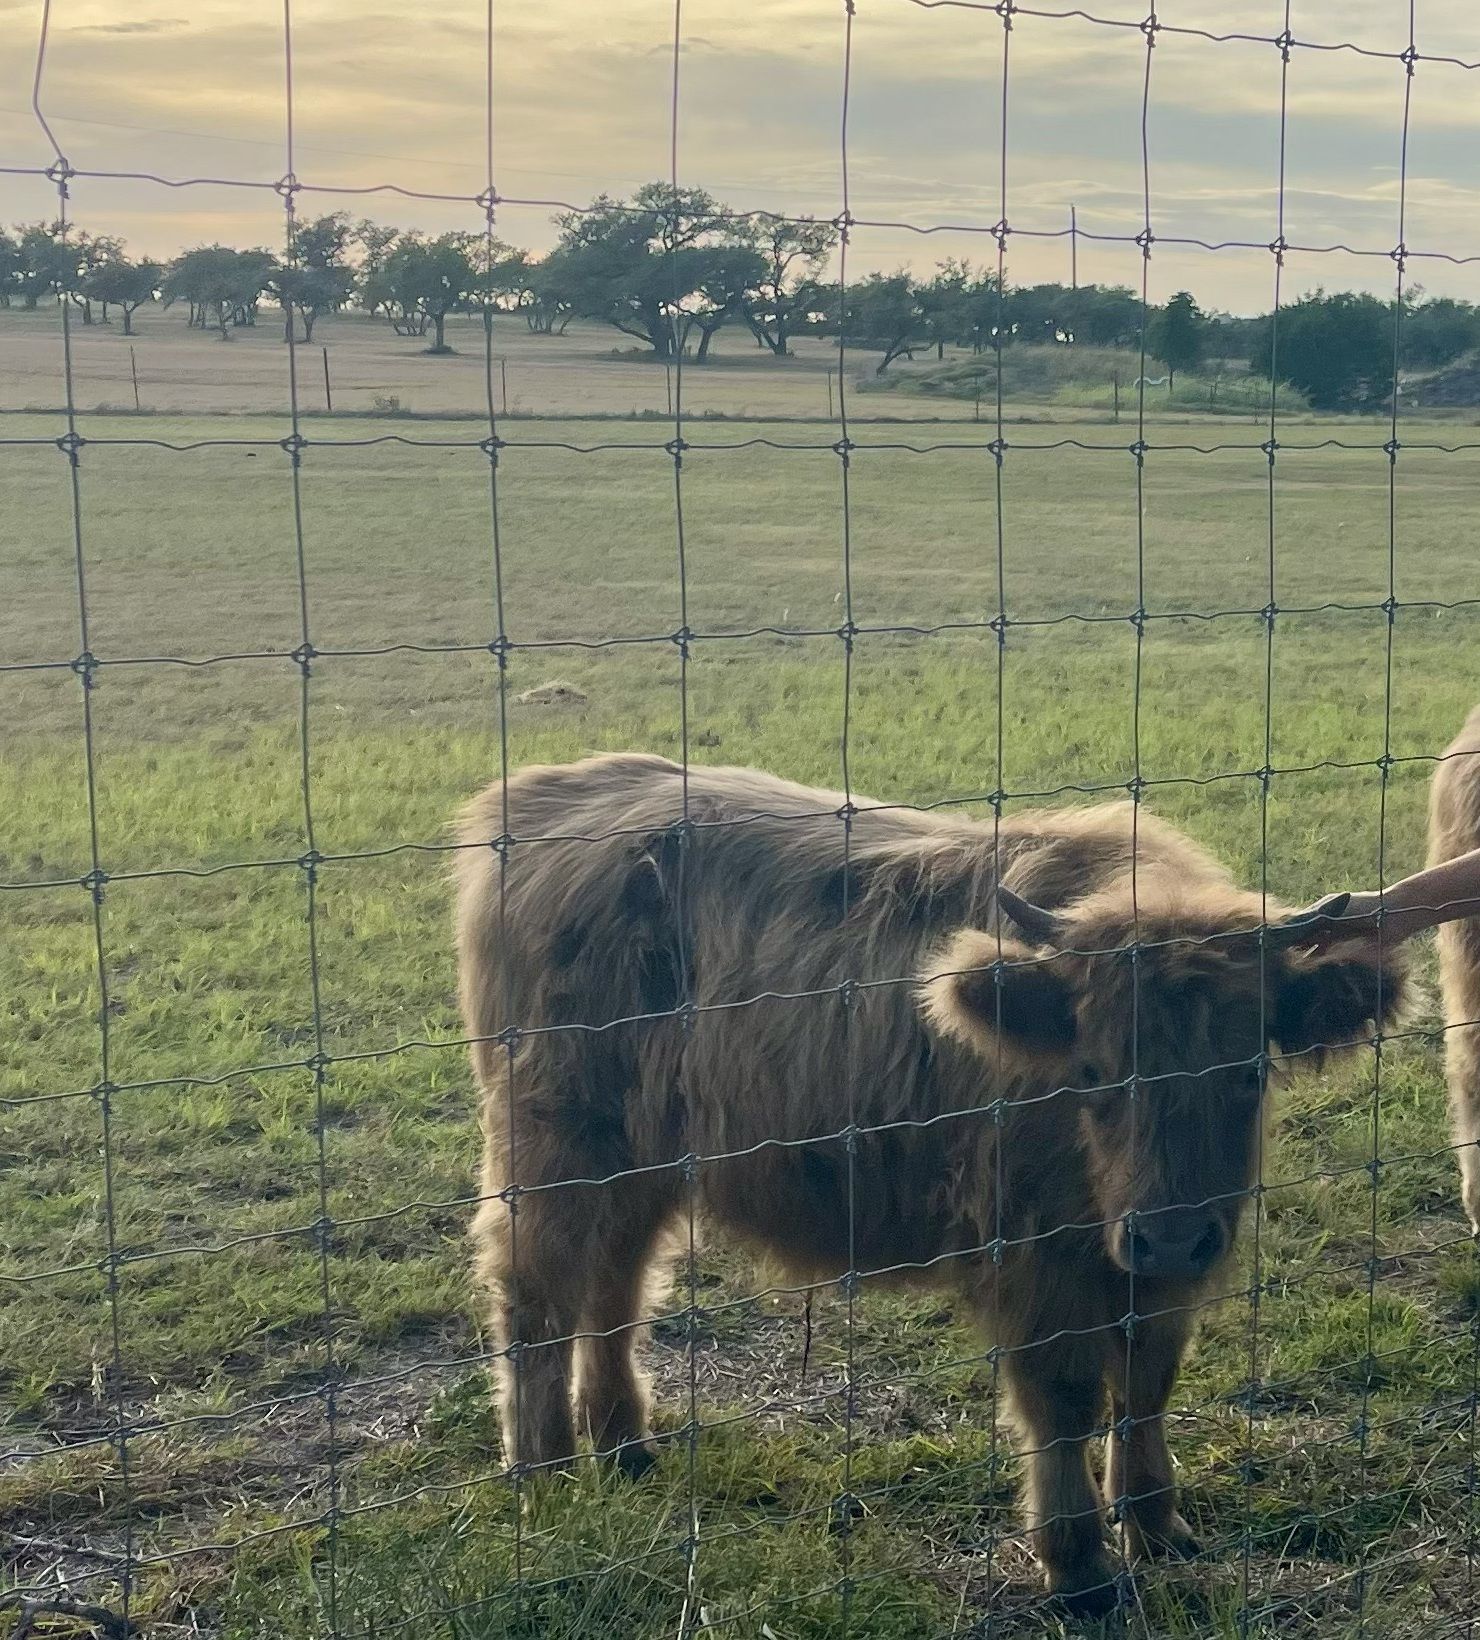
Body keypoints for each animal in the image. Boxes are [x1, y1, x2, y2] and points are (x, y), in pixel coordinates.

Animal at [455, 752, 1478, 1613]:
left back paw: (625, 1446)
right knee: (537, 1288)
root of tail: (552, 790)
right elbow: (1063, 1401)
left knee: (618, 1279)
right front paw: (1079, 1567)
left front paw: (1158, 1526)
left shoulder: (1161, 1269)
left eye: (1249, 1072)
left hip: (644, 1153)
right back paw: (543, 1475)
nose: (1170, 1234)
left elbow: (1148, 1382)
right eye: (1094, 1071)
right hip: (552, 1138)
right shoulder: (1033, 1261)